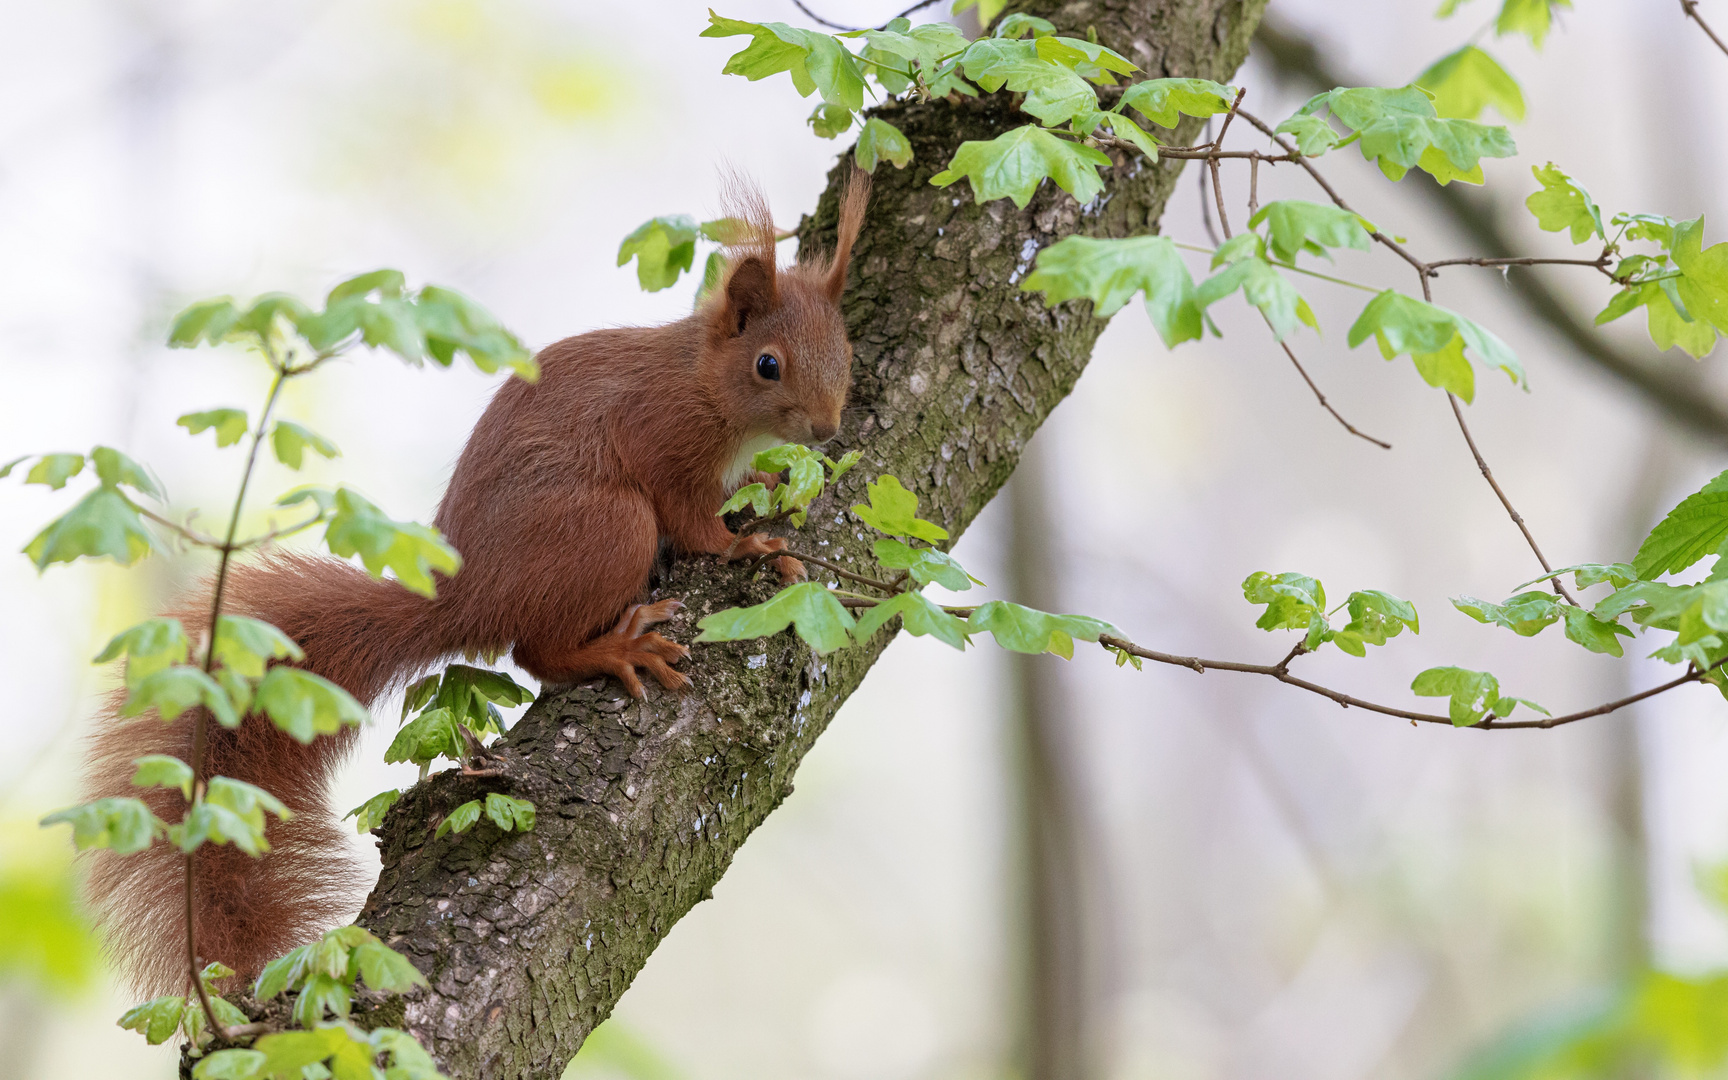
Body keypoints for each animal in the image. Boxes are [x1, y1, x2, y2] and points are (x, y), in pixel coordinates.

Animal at [82, 172, 870, 988]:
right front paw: (752, 546)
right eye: (768, 364)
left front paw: (776, 482)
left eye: (846, 349)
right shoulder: (665, 443)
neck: (701, 380)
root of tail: (472, 594)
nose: (825, 429)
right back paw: (617, 649)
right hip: (609, 528)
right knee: (536, 651)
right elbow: (697, 525)